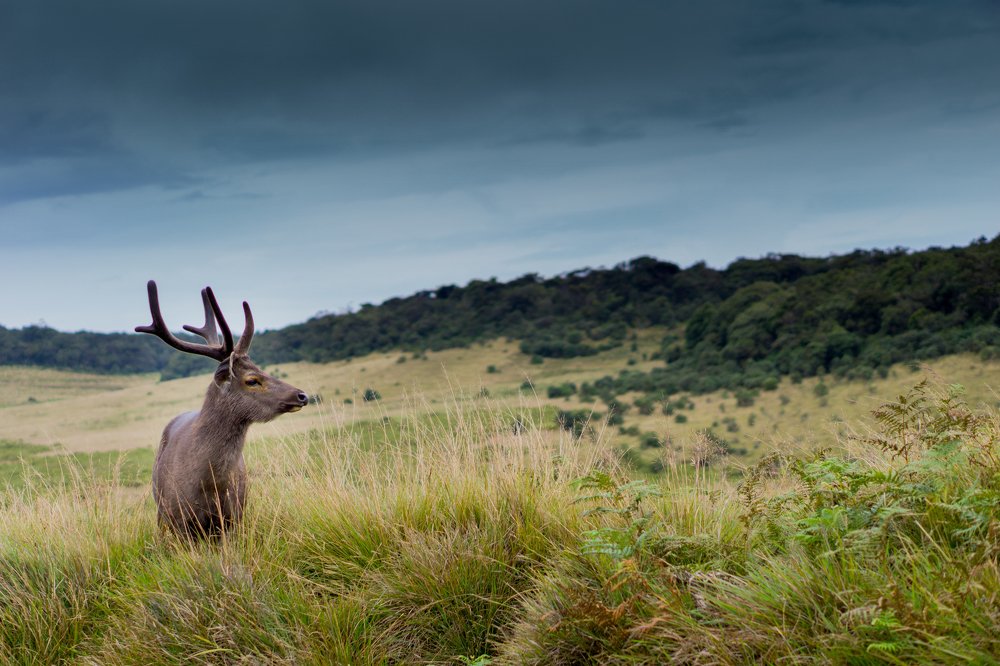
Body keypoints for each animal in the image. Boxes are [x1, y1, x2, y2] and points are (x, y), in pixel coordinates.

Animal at [136, 280, 309, 539]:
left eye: (261, 368)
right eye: (252, 380)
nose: (302, 395)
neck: (209, 485)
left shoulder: (233, 517)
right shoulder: (179, 520)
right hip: (160, 511)